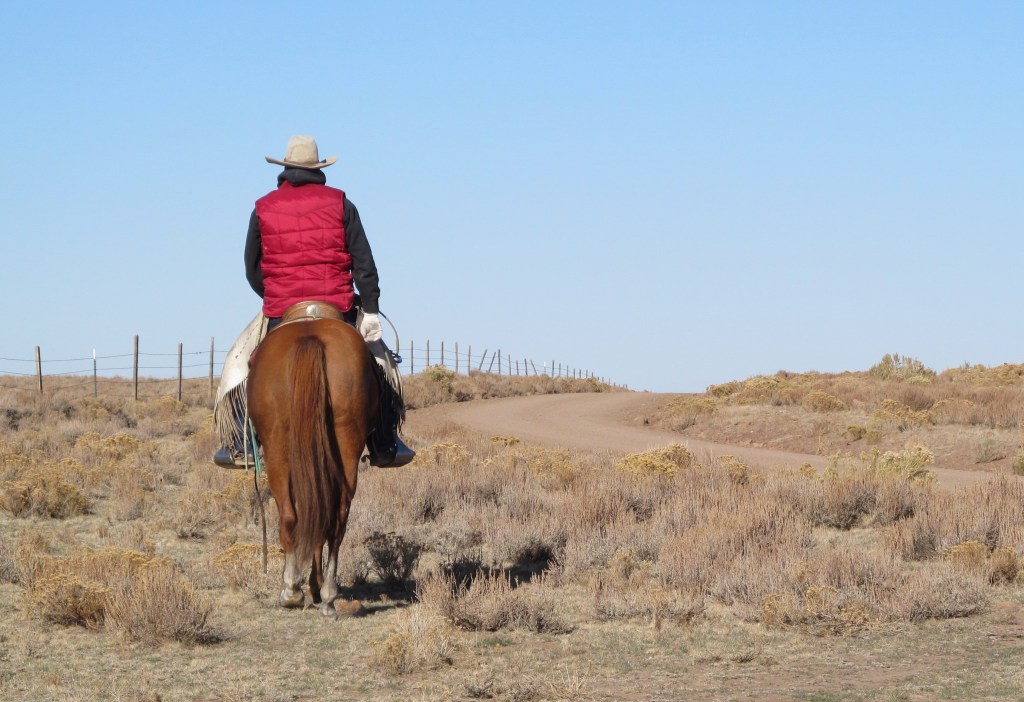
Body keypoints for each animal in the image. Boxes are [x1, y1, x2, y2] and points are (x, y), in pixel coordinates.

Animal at [246, 304, 378, 616]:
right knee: (336, 519)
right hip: (345, 442)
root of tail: (311, 336)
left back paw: (291, 591)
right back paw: (328, 594)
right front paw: (315, 586)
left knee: (290, 515)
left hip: (276, 446)